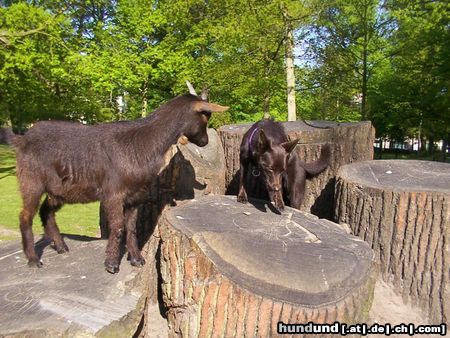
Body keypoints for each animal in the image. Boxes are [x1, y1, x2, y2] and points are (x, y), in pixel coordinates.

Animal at [4, 93, 227, 274]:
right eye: (205, 115)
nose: (205, 142)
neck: (142, 144)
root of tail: (22, 139)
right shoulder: (113, 194)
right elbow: (118, 227)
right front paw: (111, 263)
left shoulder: (135, 197)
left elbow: (132, 228)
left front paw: (136, 259)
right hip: (31, 181)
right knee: (25, 215)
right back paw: (33, 260)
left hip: (59, 189)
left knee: (46, 211)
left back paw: (60, 246)